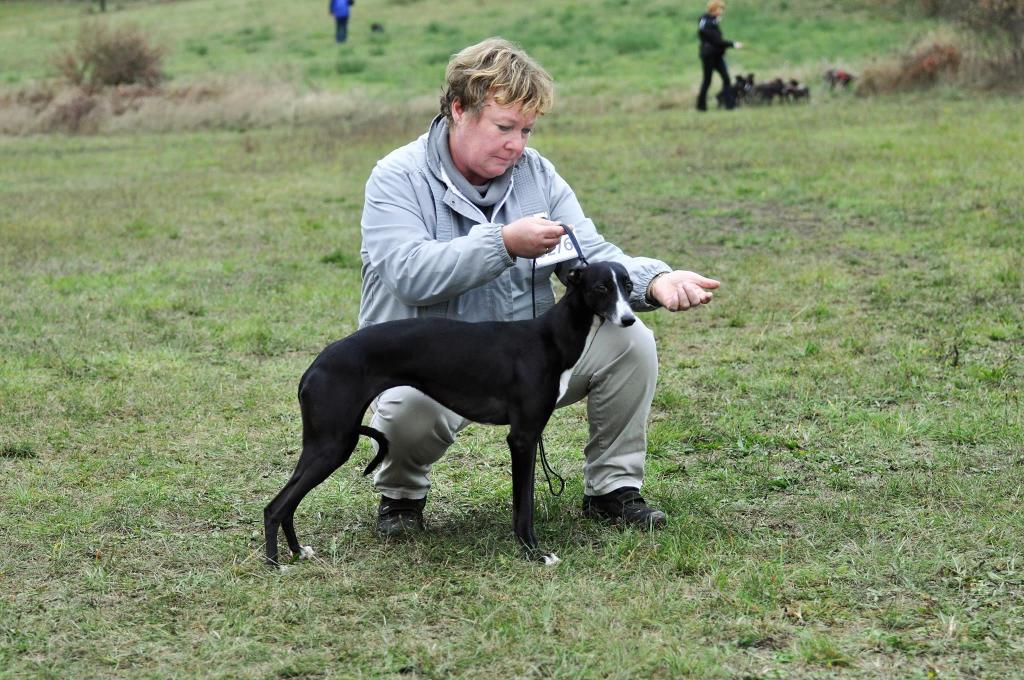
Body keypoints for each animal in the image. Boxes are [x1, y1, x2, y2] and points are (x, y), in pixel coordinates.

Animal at [264, 260, 638, 567]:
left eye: (629, 284)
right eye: (601, 288)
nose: (629, 319)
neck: (549, 338)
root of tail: (313, 368)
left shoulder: (529, 436)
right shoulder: (522, 437)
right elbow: (524, 506)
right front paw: (534, 552)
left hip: (328, 441)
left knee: (288, 502)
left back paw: (297, 552)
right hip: (333, 443)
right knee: (275, 506)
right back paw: (274, 563)